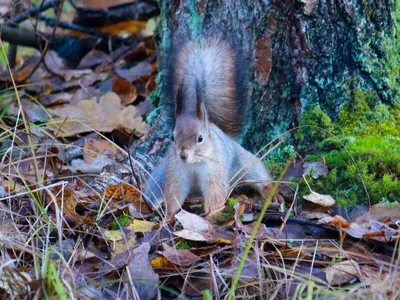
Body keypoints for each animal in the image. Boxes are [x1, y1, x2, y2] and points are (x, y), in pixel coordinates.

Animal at [143, 38, 272, 219]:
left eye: (200, 138)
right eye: (173, 137)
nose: (183, 155)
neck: (194, 163)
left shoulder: (214, 172)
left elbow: (214, 193)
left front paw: (211, 215)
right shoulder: (176, 172)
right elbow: (174, 194)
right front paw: (168, 218)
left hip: (244, 163)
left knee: (258, 175)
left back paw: (269, 190)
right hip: (161, 174)